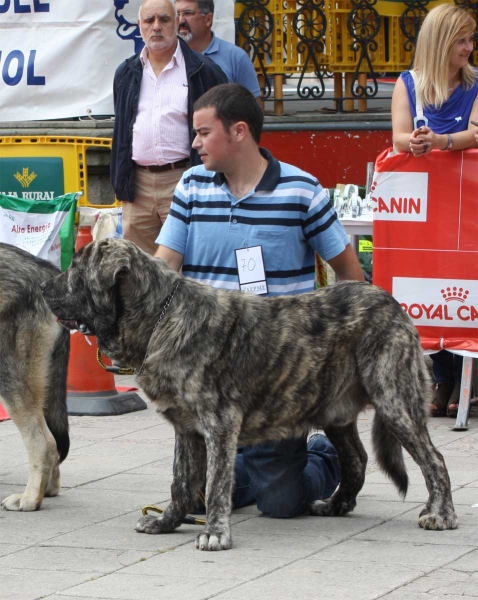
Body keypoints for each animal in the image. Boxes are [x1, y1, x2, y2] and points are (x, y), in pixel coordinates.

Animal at [43, 238, 458, 548]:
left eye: (76, 269)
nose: (45, 286)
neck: (160, 318)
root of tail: (392, 303)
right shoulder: (186, 429)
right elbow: (181, 480)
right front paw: (168, 522)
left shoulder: (219, 424)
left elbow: (215, 483)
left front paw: (214, 533)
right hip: (335, 409)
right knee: (355, 459)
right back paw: (337, 503)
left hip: (394, 399)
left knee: (434, 459)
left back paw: (441, 513)